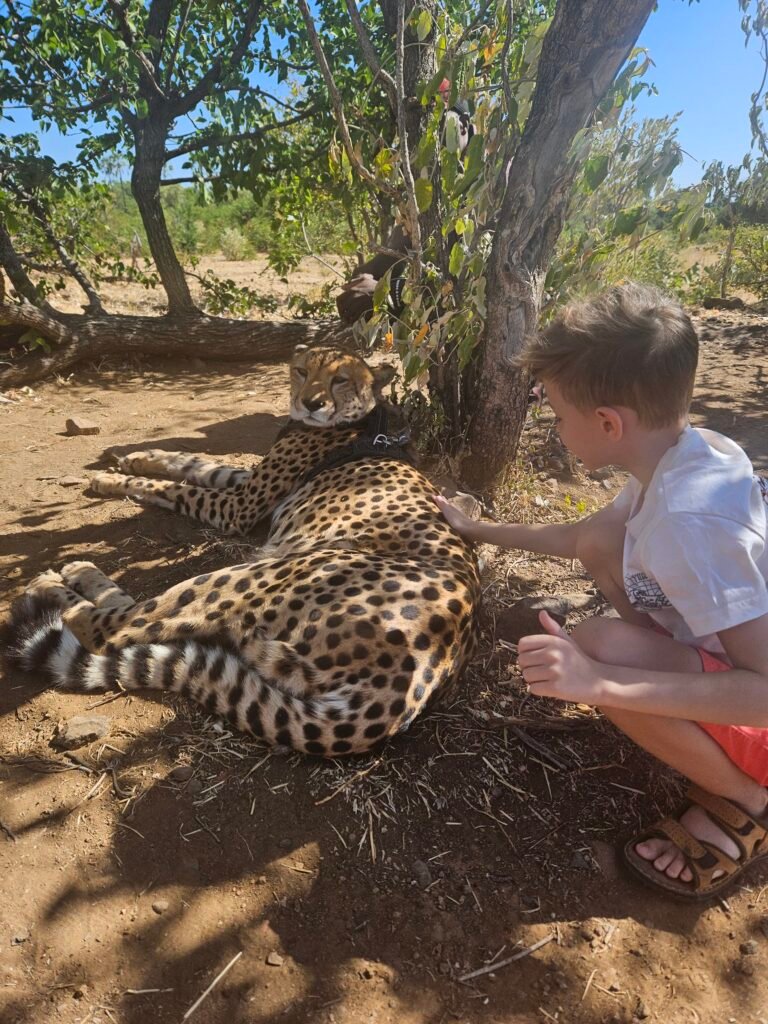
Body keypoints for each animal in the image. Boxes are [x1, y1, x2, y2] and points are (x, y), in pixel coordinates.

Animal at [4, 346, 481, 756]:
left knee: (114, 627)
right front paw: (135, 458)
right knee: (150, 619)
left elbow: (175, 487)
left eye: (341, 379)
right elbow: (194, 463)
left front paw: (119, 479)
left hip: (259, 572)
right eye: (302, 371)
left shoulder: (239, 506)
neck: (360, 422)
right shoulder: (245, 487)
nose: (311, 403)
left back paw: (59, 578)